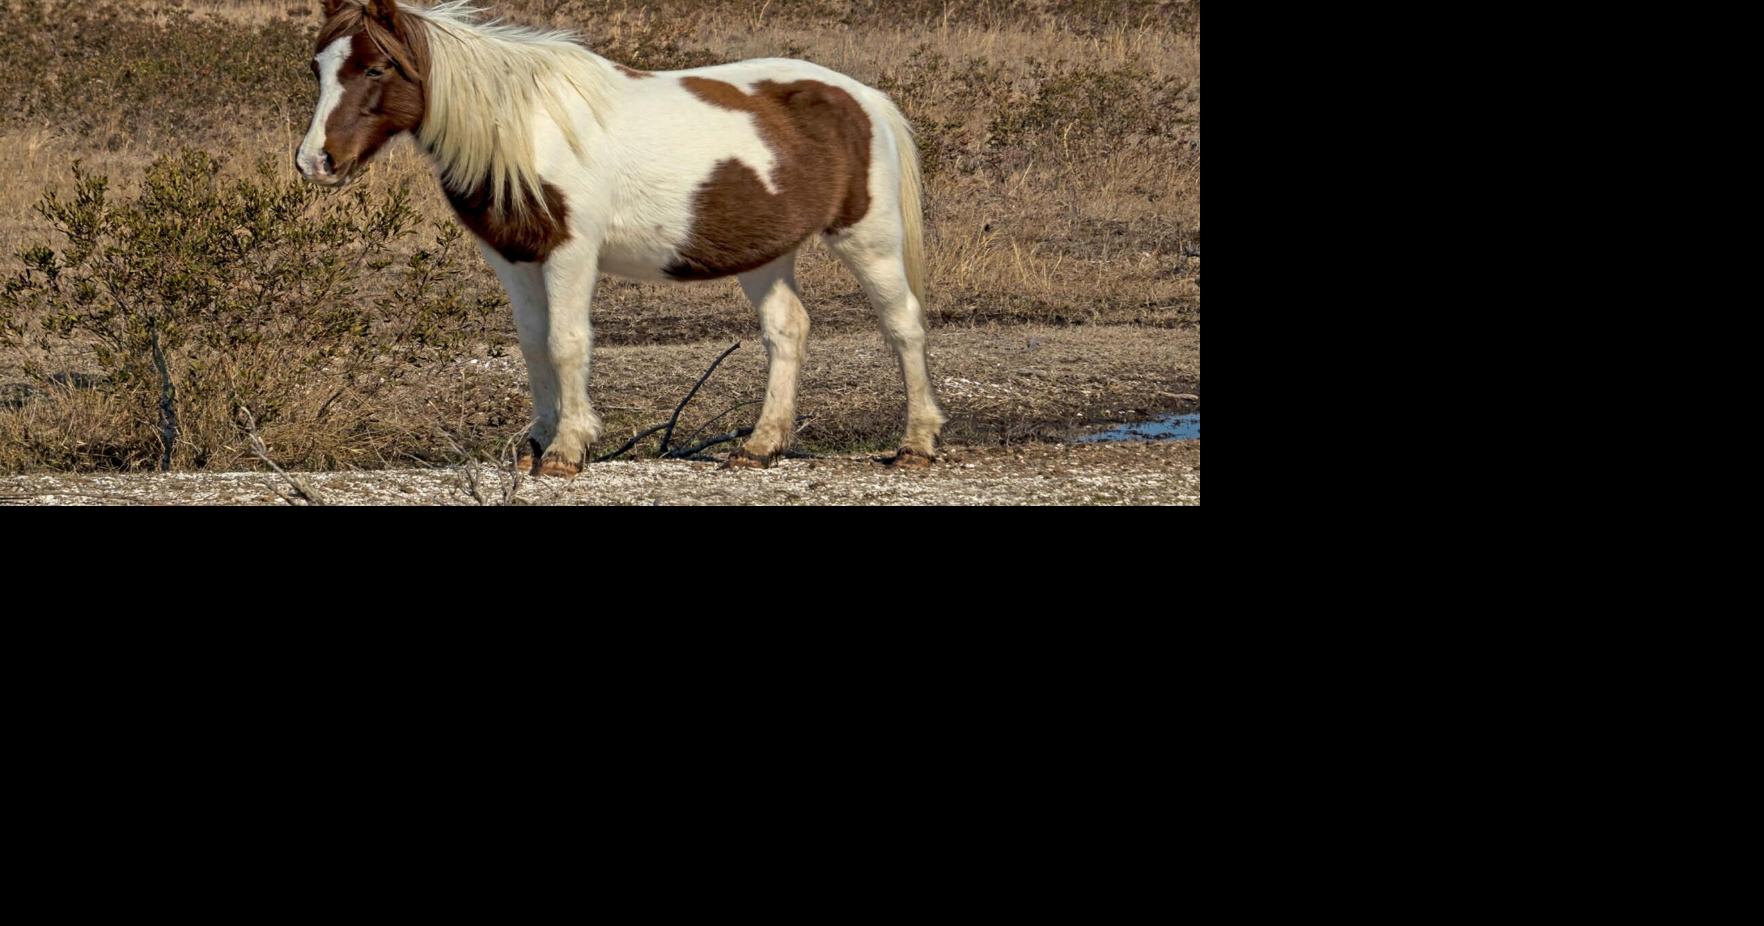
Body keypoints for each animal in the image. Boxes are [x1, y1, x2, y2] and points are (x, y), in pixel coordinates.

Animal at [296, 0, 945, 475]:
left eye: (376, 68)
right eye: (317, 67)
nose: (315, 162)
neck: (526, 129)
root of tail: (864, 98)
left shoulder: (571, 253)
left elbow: (566, 342)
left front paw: (567, 450)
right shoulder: (512, 257)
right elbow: (532, 343)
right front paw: (536, 444)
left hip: (868, 238)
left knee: (903, 324)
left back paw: (917, 443)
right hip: (766, 253)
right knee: (787, 331)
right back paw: (759, 447)